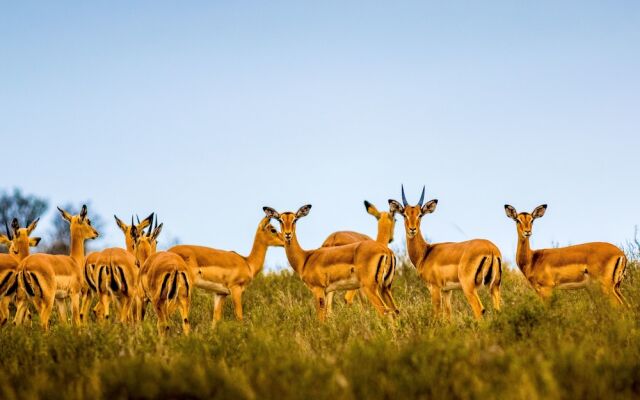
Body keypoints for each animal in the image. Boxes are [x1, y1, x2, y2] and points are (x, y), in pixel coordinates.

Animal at [264, 206, 396, 322]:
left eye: (295, 219)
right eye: (280, 219)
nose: (288, 234)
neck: (305, 258)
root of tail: (386, 250)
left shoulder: (318, 290)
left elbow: (321, 319)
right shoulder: (327, 292)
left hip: (370, 288)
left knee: (385, 312)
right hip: (385, 288)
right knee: (395, 311)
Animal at [390, 186, 500, 320]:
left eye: (420, 214)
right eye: (404, 214)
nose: (412, 229)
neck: (425, 253)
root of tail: (490, 249)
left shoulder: (435, 288)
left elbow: (437, 313)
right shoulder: (447, 291)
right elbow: (448, 315)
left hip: (469, 288)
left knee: (479, 309)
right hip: (495, 287)